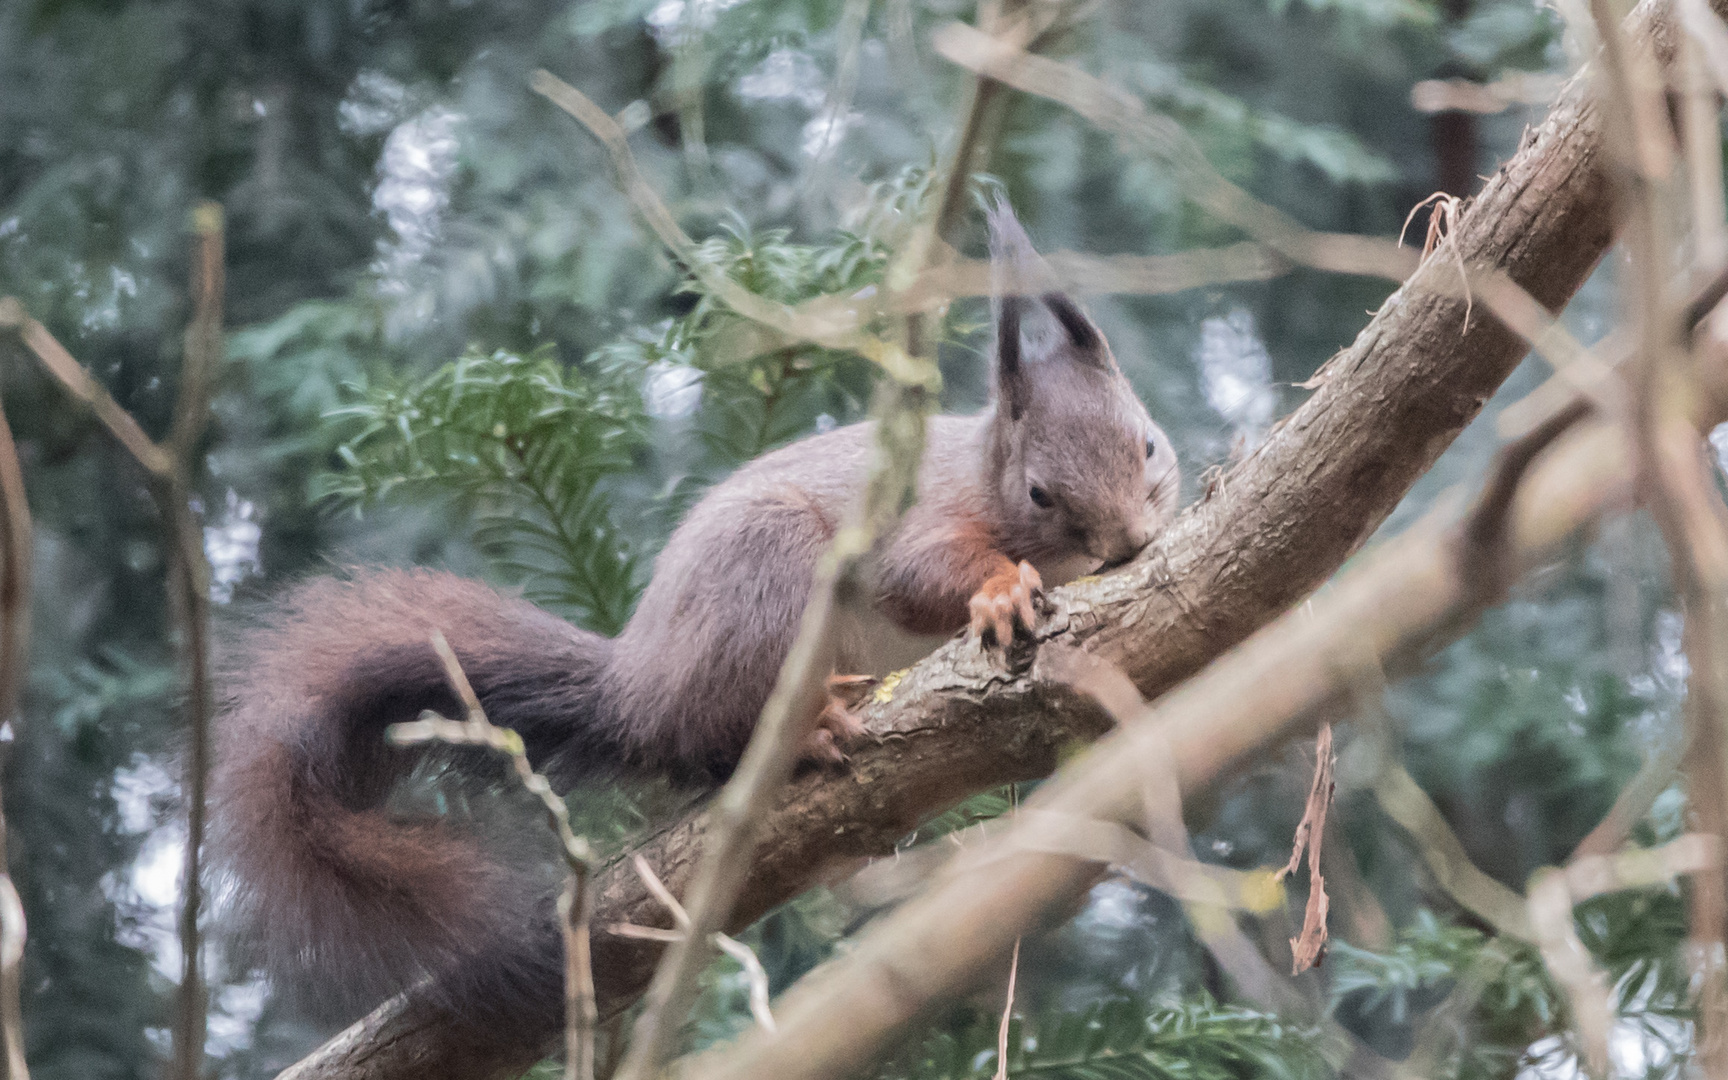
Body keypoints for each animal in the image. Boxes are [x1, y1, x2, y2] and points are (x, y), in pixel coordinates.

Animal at [209, 202, 1181, 1036]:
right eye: (1040, 493)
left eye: (1149, 444)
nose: (1129, 540)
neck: (983, 464)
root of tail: (641, 683)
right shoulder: (924, 513)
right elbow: (919, 572)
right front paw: (1000, 591)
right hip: (763, 571)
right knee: (720, 732)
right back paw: (806, 727)